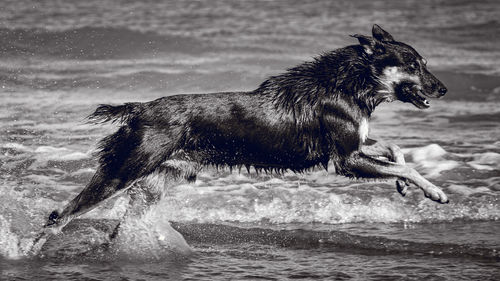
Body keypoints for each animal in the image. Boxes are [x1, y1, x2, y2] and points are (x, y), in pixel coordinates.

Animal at [40, 24, 450, 238]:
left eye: (424, 62)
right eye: (413, 64)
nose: (444, 89)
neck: (349, 84)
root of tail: (140, 109)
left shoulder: (352, 147)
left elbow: (395, 150)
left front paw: (404, 186)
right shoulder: (345, 160)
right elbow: (406, 164)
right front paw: (434, 192)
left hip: (158, 179)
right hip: (123, 170)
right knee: (60, 215)